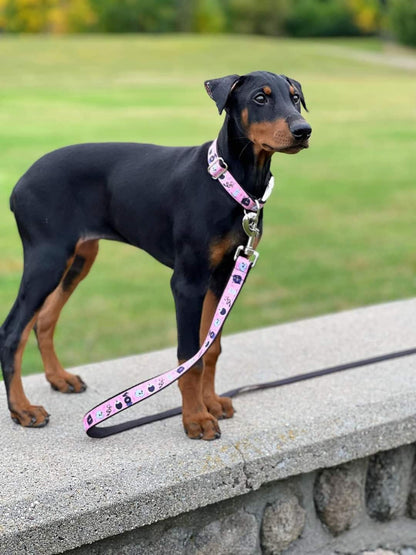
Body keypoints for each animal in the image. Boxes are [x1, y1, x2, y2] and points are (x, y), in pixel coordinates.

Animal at [0, 69, 310, 440]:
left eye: (295, 97)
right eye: (260, 98)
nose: (304, 130)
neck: (230, 184)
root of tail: (19, 183)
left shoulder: (226, 275)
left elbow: (211, 348)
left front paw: (212, 403)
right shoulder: (188, 282)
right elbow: (189, 357)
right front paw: (196, 418)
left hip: (79, 258)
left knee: (43, 319)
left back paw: (60, 379)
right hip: (47, 258)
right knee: (12, 331)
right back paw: (22, 409)